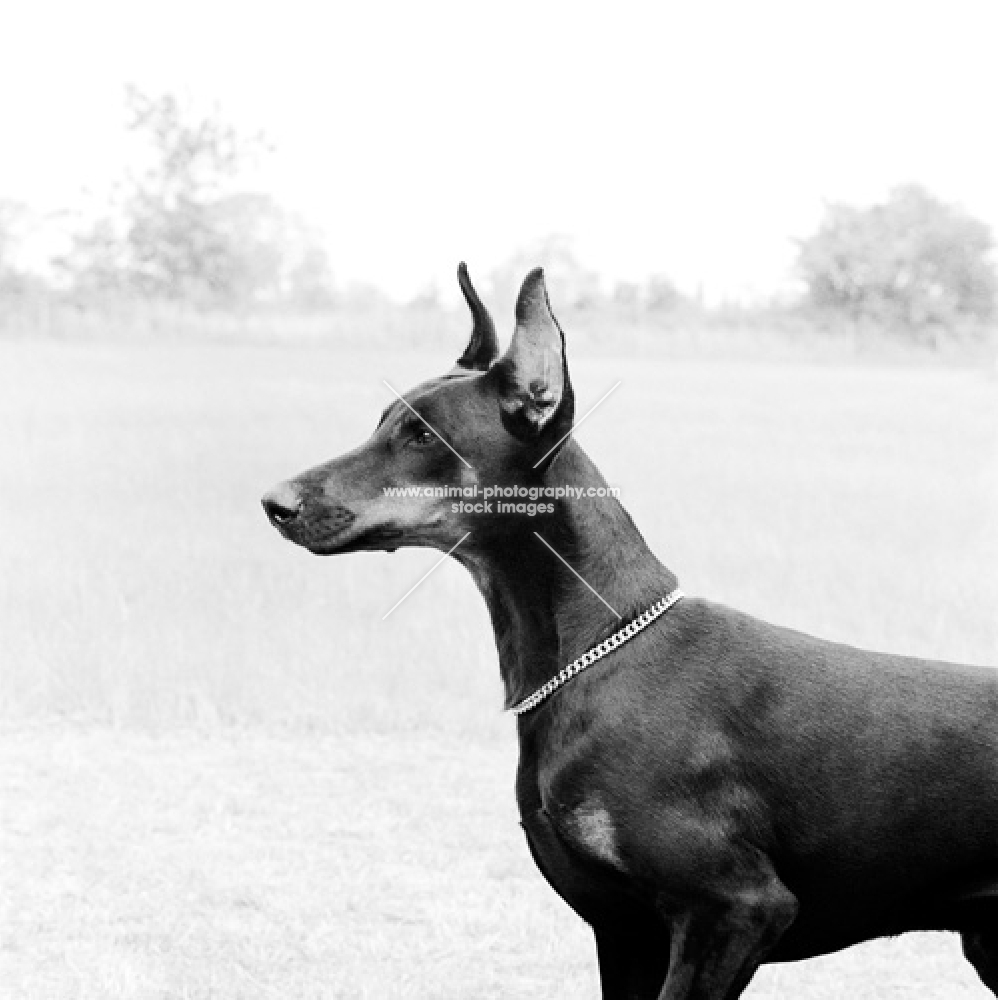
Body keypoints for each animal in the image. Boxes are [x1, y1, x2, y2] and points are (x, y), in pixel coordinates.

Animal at [262, 266, 996, 1000]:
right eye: (385, 422)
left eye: (420, 437)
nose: (274, 503)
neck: (596, 650)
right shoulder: (623, 932)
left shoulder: (734, 911)